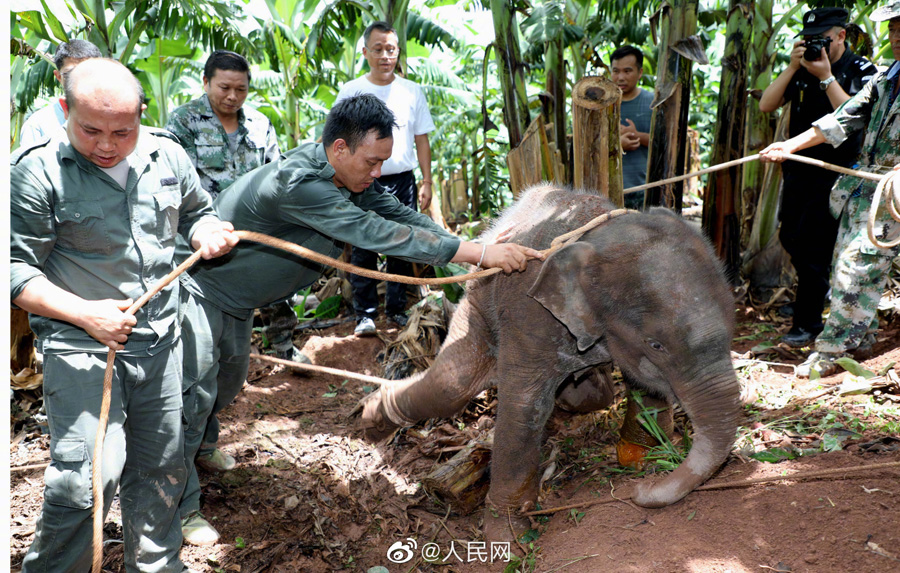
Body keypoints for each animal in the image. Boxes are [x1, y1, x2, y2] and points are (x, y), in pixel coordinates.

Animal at [358, 185, 740, 544]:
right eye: (656, 344)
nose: (640, 491)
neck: (596, 232)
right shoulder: (530, 315)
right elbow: (524, 408)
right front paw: (510, 540)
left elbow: (644, 386)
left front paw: (640, 458)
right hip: (478, 296)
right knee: (452, 384)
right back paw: (373, 413)